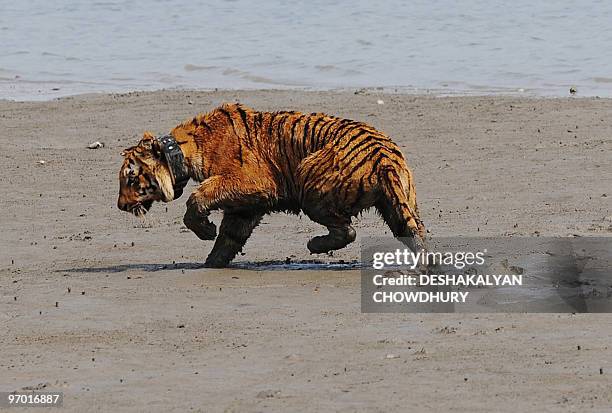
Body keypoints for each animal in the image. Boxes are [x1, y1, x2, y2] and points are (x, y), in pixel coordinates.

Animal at [118, 103, 426, 268]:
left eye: (130, 178)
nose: (120, 206)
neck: (182, 150)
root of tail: (383, 158)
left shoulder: (250, 183)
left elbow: (198, 197)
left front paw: (205, 230)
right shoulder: (246, 207)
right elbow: (229, 237)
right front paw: (211, 263)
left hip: (310, 183)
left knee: (346, 229)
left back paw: (315, 244)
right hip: (399, 204)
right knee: (413, 232)